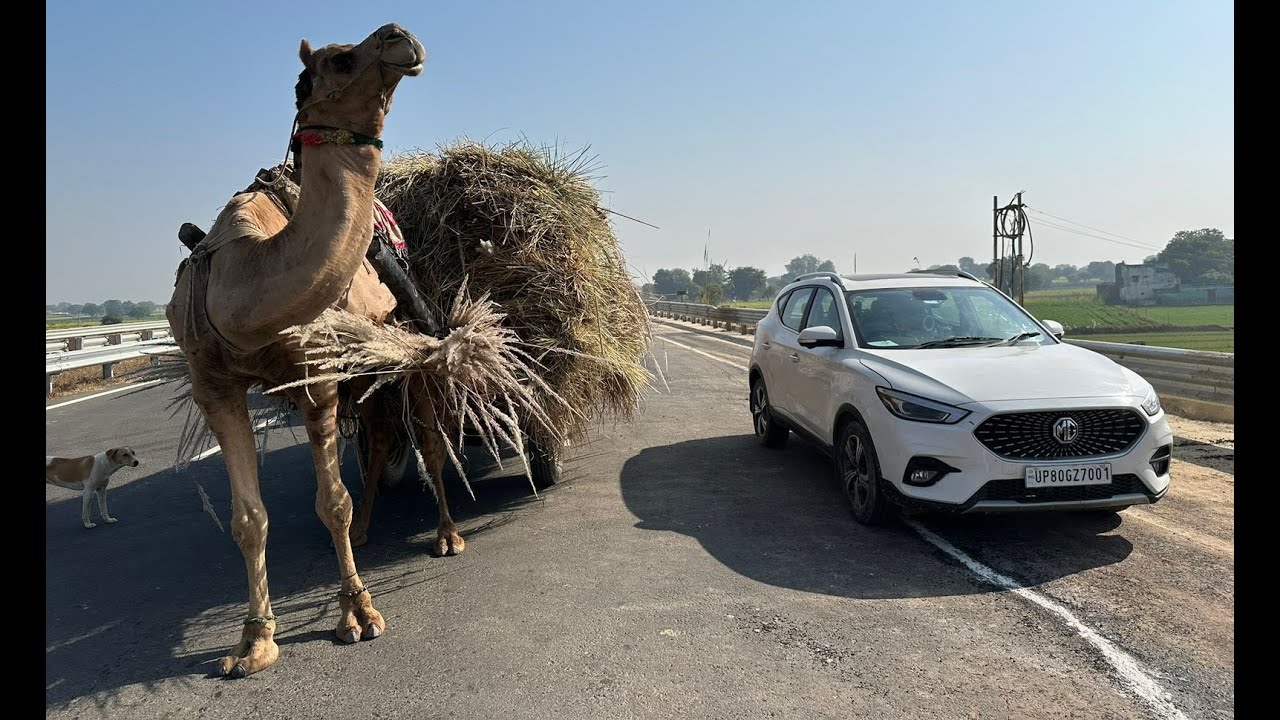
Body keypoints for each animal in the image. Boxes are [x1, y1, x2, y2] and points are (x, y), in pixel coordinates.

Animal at [165, 23, 470, 679]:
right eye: (341, 60)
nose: (402, 38)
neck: (242, 279)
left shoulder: (317, 376)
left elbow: (331, 502)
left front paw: (358, 612)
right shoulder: (214, 388)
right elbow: (248, 520)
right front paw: (252, 643)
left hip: (408, 342)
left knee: (429, 440)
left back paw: (447, 535)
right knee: (379, 436)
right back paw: (374, 526)